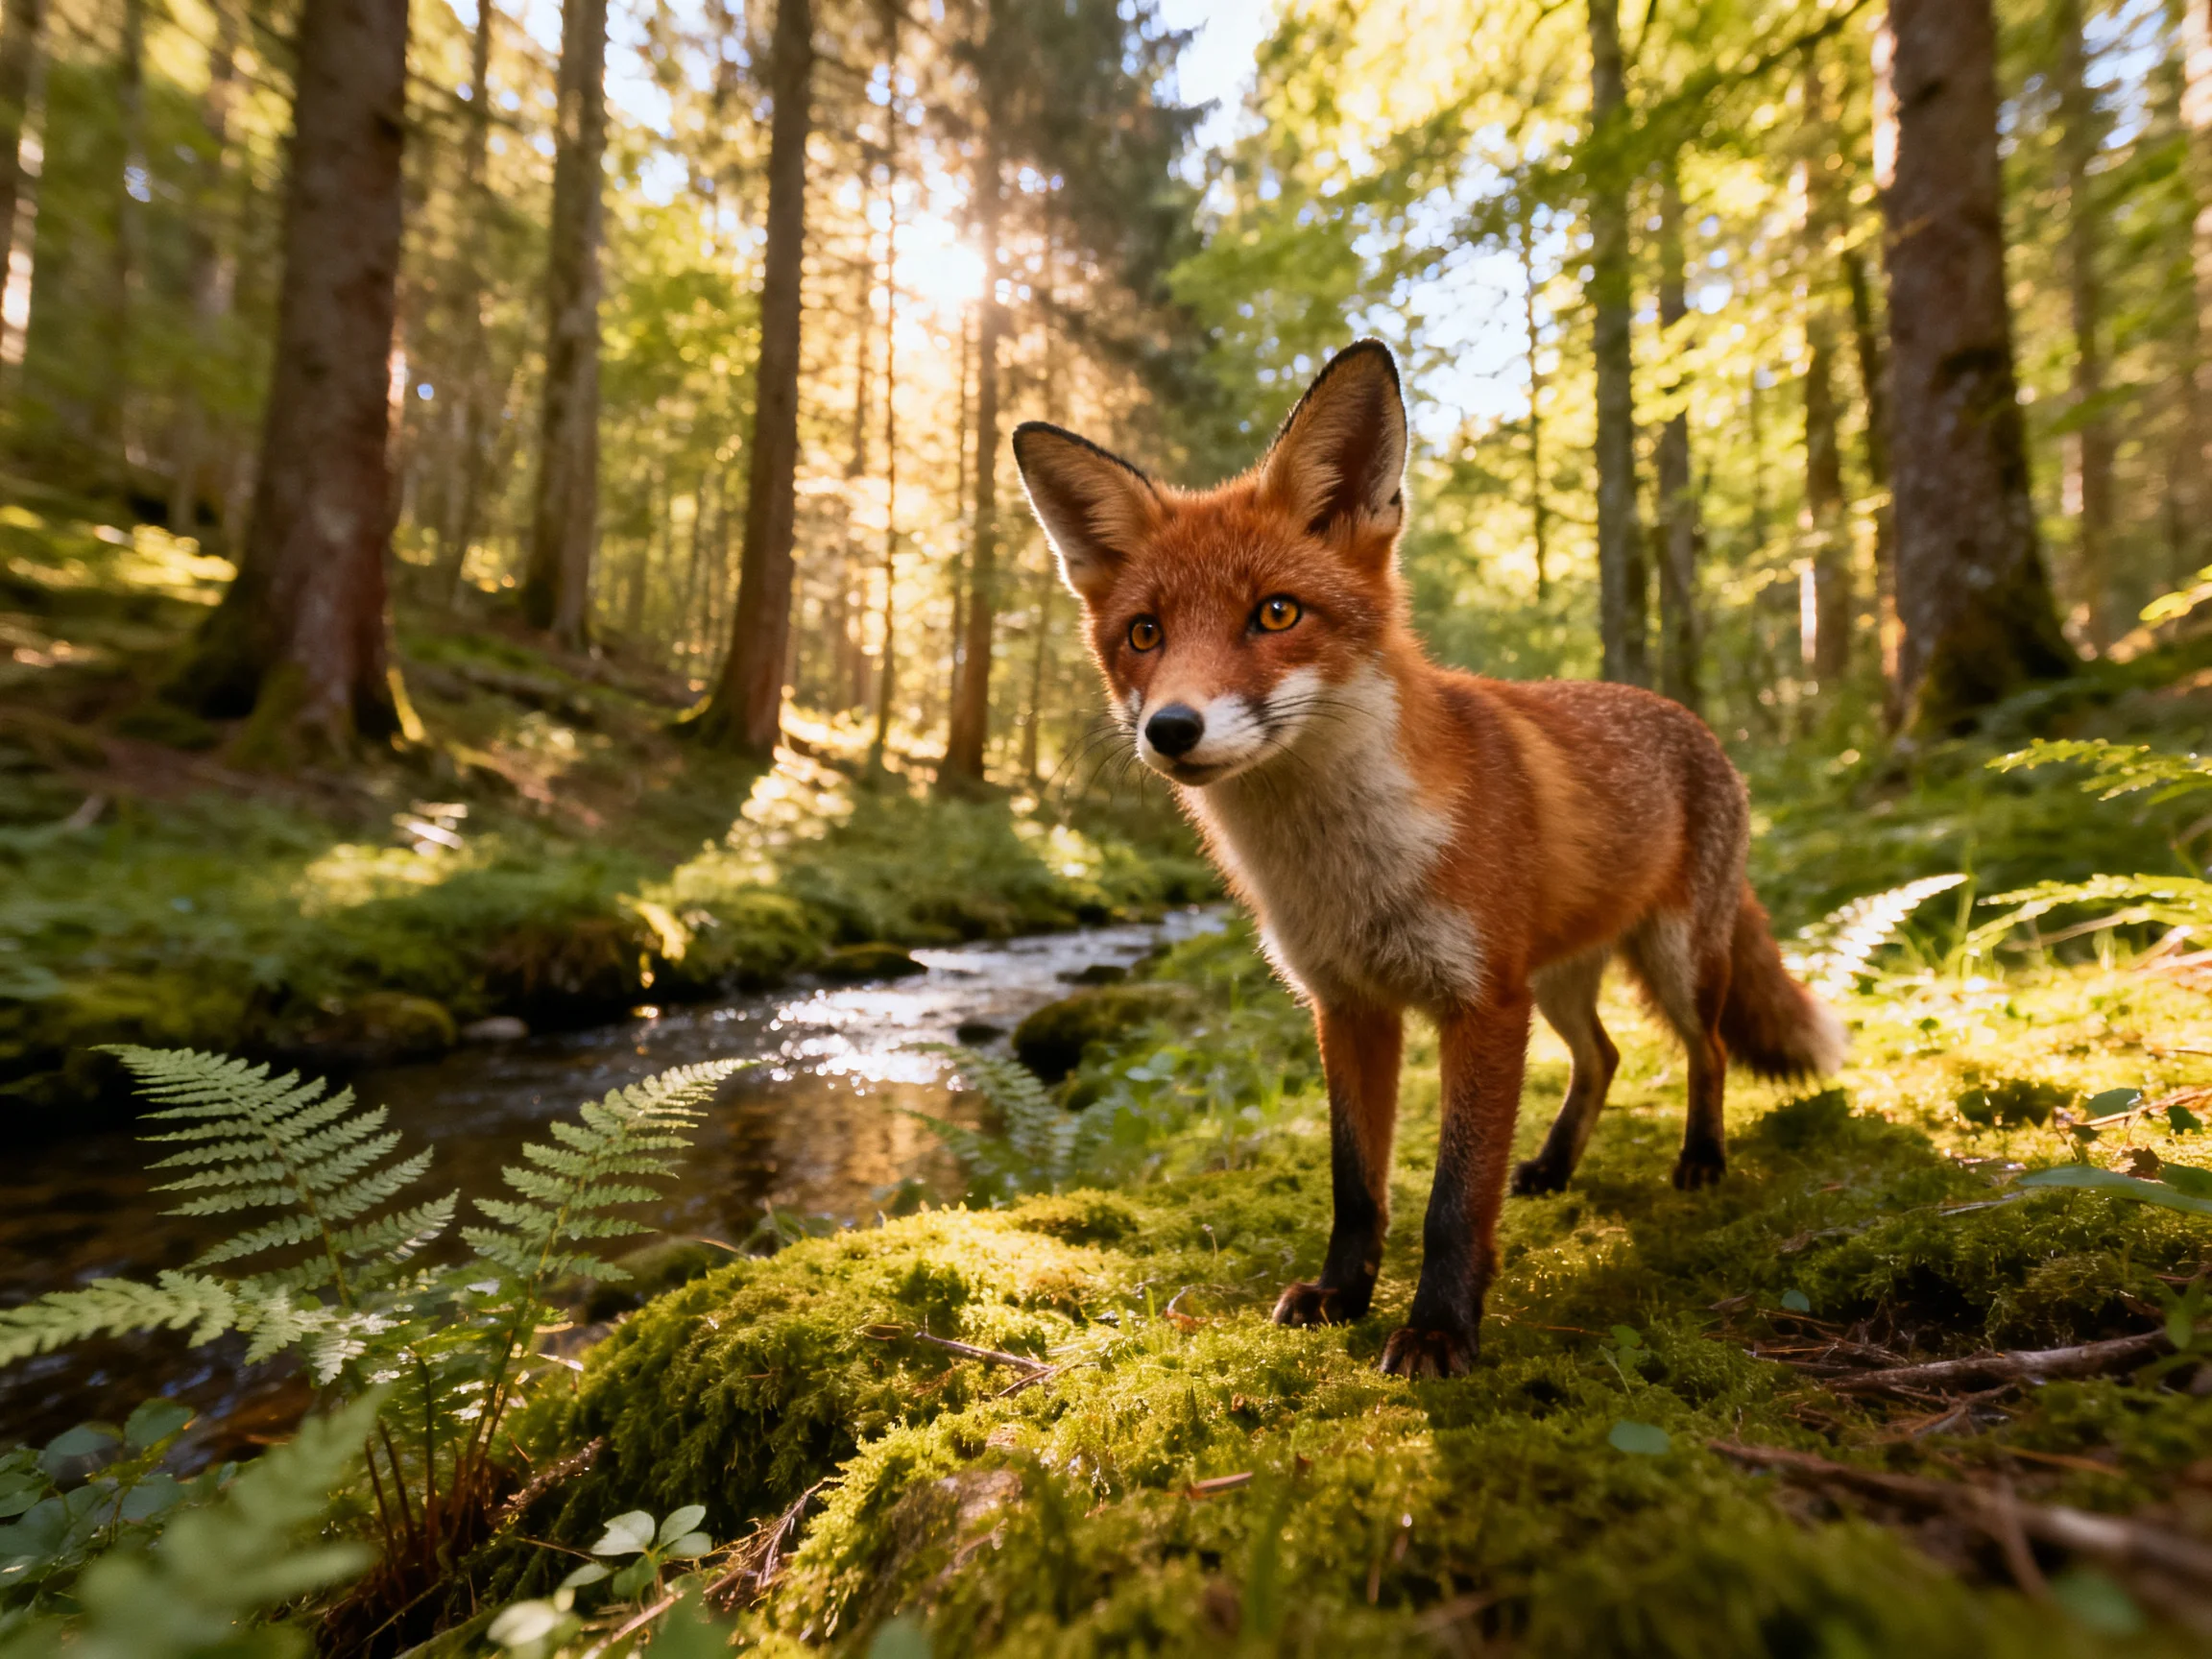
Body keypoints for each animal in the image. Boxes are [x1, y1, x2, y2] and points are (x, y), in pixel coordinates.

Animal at [1010, 338, 1845, 1379]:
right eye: (1145, 634)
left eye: (1275, 613)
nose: (1170, 729)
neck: (1342, 867)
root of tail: (1692, 720)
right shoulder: (1349, 1007)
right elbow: (1356, 1183)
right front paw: (1340, 1295)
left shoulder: (1479, 1004)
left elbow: (1454, 1197)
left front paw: (1442, 1330)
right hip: (1557, 980)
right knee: (1604, 1056)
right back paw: (1553, 1167)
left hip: (1674, 963)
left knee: (1711, 1050)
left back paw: (1701, 1159)